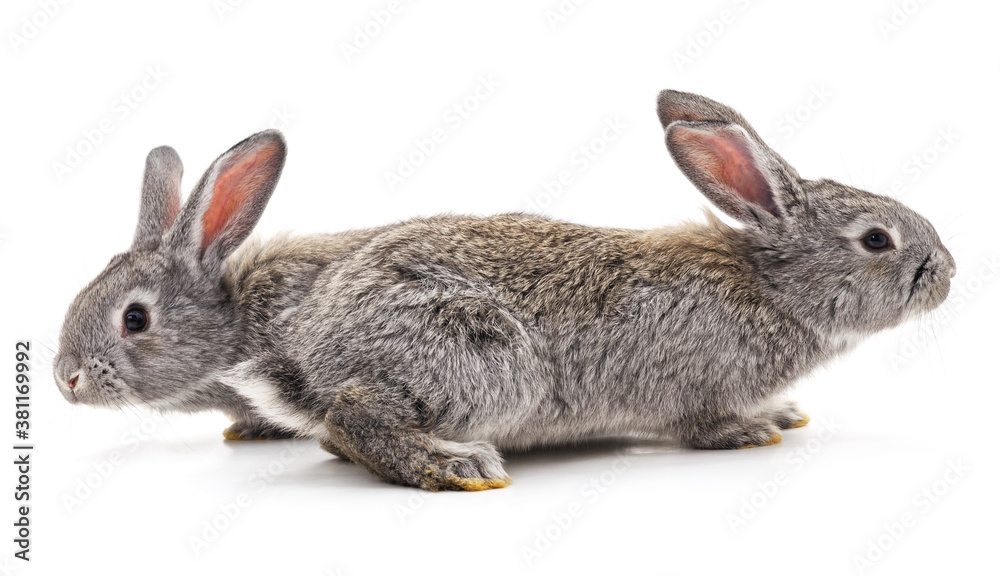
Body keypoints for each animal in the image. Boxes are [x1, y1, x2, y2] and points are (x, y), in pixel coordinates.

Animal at [54, 90, 955, 491]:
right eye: (877, 241)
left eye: (133, 319)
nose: (946, 274)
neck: (773, 285)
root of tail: (314, 353)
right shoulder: (693, 383)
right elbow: (702, 422)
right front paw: (749, 432)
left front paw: (782, 415)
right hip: (485, 360)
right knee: (354, 419)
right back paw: (453, 467)